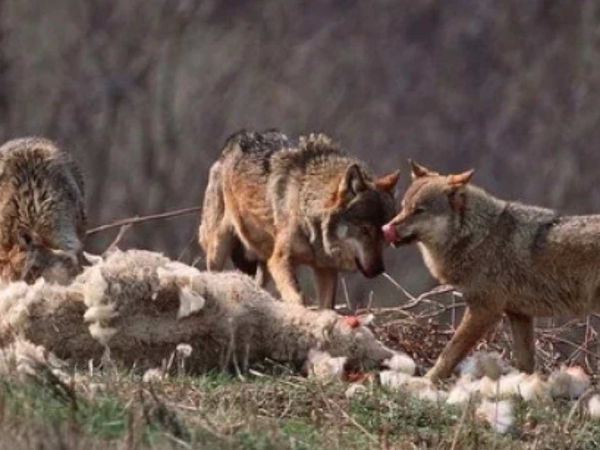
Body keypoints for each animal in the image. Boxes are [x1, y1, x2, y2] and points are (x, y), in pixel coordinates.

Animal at [199, 128, 400, 308]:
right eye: (365, 229)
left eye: (383, 232)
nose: (379, 270)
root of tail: (234, 140)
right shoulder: (280, 260)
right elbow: (299, 298)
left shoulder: (325, 270)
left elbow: (328, 307)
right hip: (219, 250)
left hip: (264, 262)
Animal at [382, 160, 600, 382]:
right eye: (404, 207)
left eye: (419, 210)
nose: (386, 228)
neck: (477, 236)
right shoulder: (519, 314)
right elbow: (526, 364)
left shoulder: (484, 311)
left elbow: (449, 353)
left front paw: (428, 380)